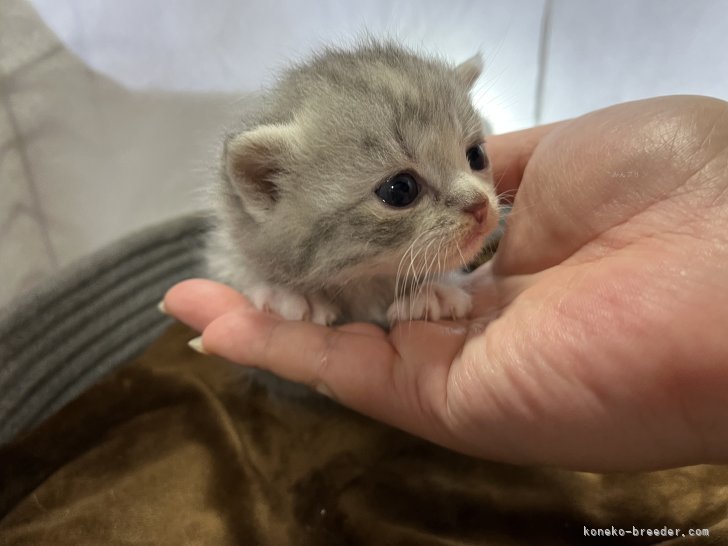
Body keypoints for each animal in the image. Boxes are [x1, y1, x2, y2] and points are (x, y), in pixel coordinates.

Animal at [205, 41, 500, 328]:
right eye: (400, 189)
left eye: (476, 156)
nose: (480, 205)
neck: (366, 279)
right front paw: (288, 292)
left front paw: (433, 289)